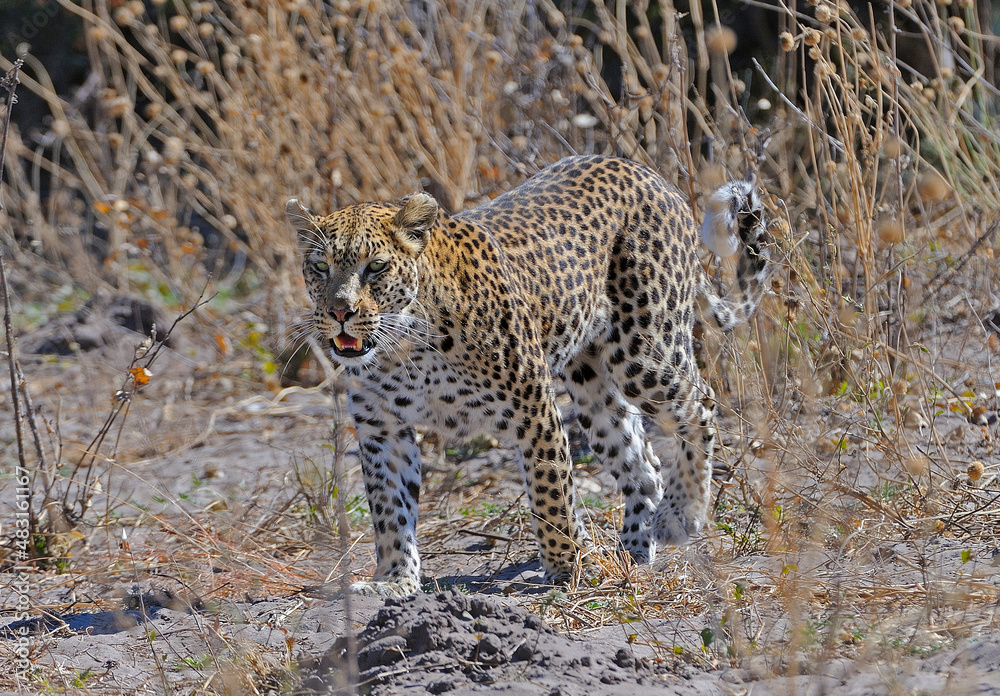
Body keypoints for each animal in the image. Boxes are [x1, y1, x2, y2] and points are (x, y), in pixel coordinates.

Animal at [285, 155, 771, 598]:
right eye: (320, 267)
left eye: (376, 267)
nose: (340, 312)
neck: (403, 349)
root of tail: (646, 172)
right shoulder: (381, 429)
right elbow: (389, 509)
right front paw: (393, 580)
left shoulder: (532, 406)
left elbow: (550, 490)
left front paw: (567, 567)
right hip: (591, 386)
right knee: (643, 463)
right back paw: (631, 551)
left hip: (644, 351)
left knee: (701, 402)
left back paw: (679, 516)